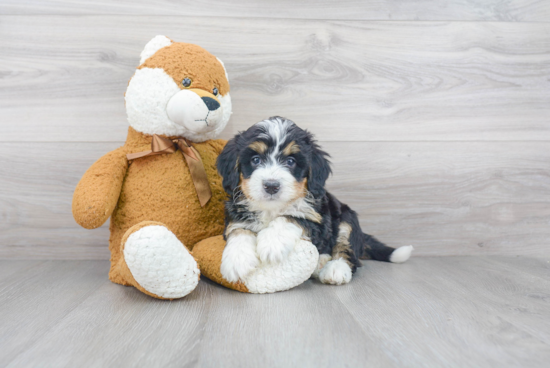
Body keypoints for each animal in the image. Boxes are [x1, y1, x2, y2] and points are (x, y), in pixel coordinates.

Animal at [218, 117, 412, 284]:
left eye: (291, 161)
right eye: (255, 160)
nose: (271, 186)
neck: (273, 208)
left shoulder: (318, 219)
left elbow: (291, 217)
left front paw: (273, 243)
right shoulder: (236, 213)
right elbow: (238, 230)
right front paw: (237, 260)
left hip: (347, 218)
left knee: (347, 249)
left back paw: (335, 268)